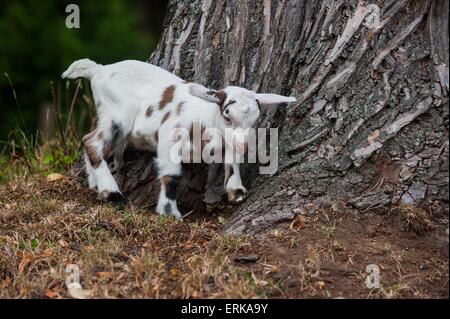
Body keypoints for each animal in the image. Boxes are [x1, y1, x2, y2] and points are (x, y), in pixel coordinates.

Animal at [62, 59, 296, 220]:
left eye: (255, 120)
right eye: (227, 114)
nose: (243, 145)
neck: (208, 118)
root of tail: (99, 69)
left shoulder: (226, 144)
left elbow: (231, 163)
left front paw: (235, 191)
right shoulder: (170, 136)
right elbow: (172, 175)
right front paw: (169, 212)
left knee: (90, 141)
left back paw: (95, 184)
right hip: (118, 116)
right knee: (92, 142)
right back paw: (111, 193)